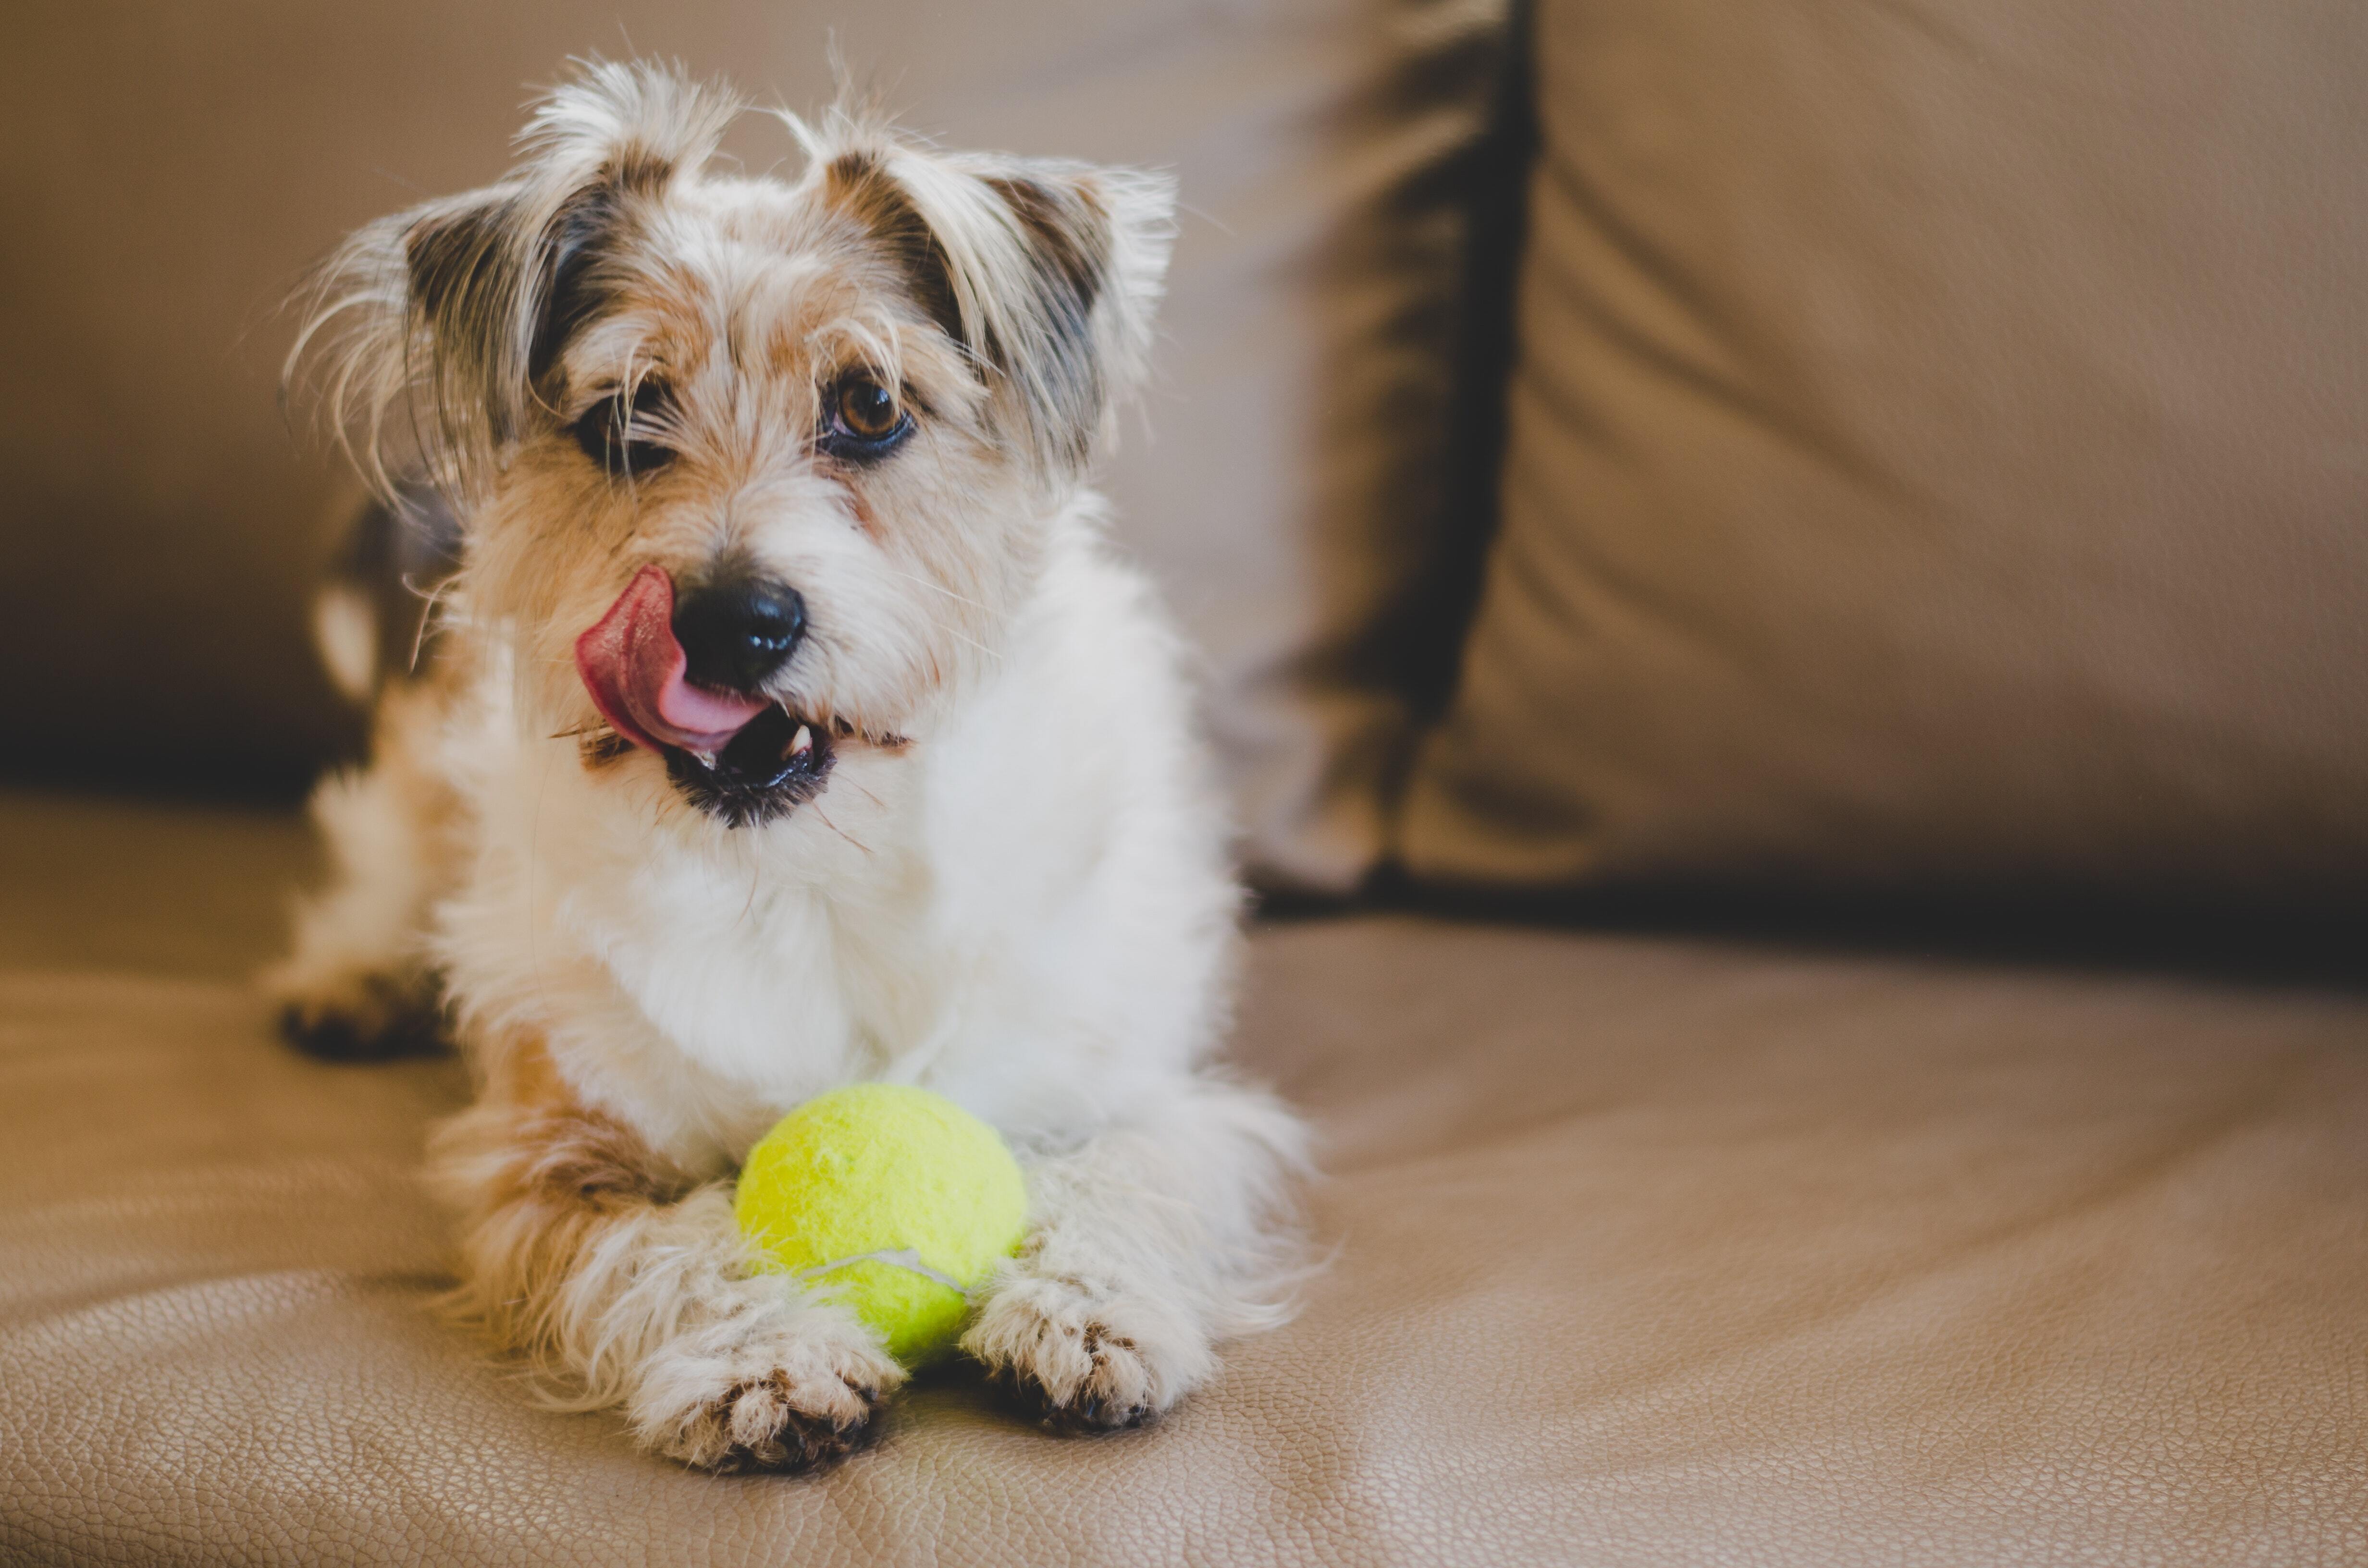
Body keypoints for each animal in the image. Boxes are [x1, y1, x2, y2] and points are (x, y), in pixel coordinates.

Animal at [272, 61, 1316, 1478]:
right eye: (624, 419)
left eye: (870, 406)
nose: (731, 623)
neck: (804, 872)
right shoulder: (541, 1156)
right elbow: (660, 1247)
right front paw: (763, 1355)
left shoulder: (1153, 1098)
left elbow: (1134, 1172)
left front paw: (1089, 1309)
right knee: (382, 852)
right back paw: (352, 976)